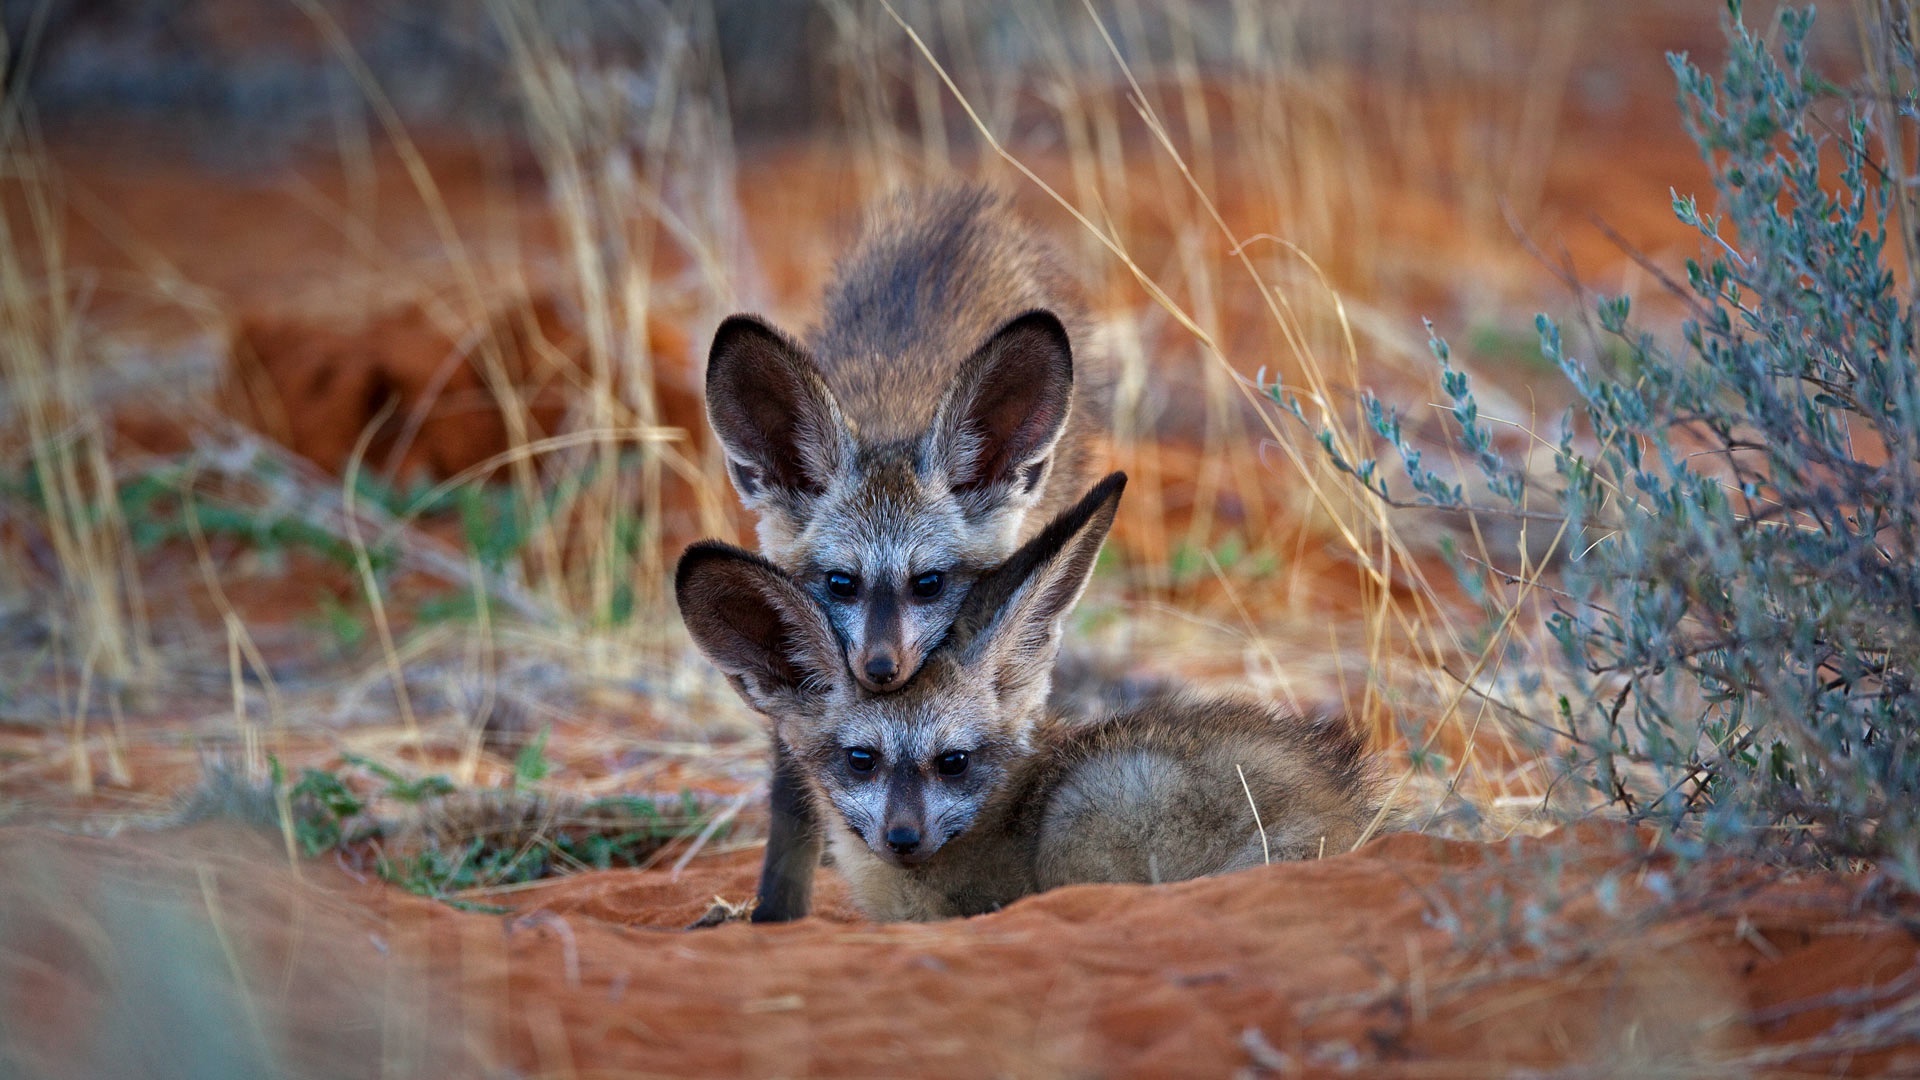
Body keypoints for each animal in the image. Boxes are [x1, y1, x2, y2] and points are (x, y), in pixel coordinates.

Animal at [706, 187, 1113, 914]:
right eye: (840, 582)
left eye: (929, 583)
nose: (879, 669)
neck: (895, 417)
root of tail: (961, 212)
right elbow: (794, 793)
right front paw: (777, 914)